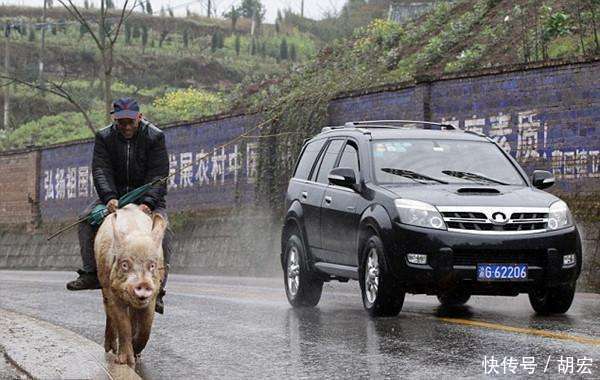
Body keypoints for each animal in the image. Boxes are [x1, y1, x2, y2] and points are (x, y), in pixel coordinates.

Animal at [95, 203, 168, 366]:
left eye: (152, 265)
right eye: (124, 264)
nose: (143, 283)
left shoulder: (152, 295)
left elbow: (146, 327)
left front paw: (136, 354)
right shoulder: (112, 290)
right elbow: (123, 324)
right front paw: (125, 362)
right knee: (109, 313)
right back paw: (110, 349)